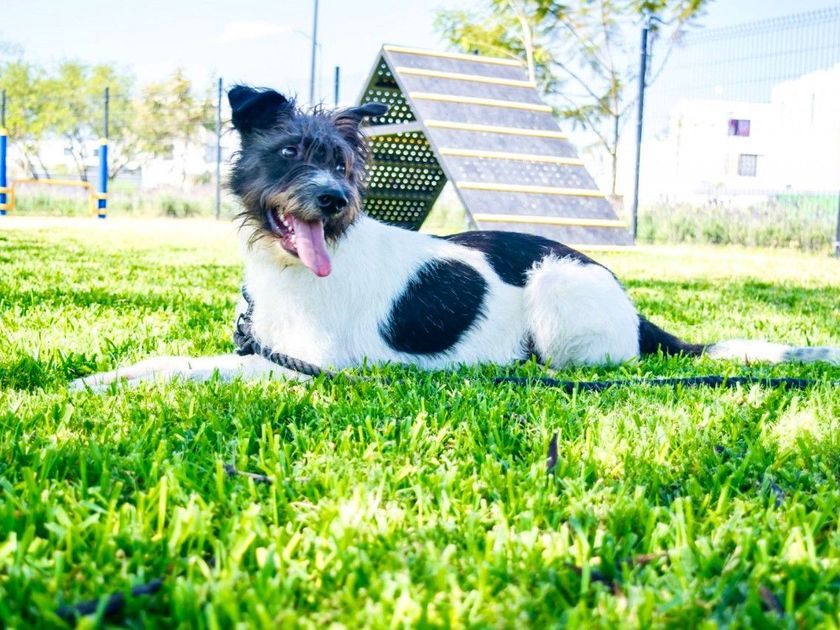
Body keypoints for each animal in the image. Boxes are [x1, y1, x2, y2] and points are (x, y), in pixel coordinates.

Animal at [72, 85, 839, 390]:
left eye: (343, 165)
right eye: (289, 152)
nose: (336, 200)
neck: (288, 271)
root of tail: (639, 316)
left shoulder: (311, 368)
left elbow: (181, 364)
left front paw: (95, 381)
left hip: (554, 287)